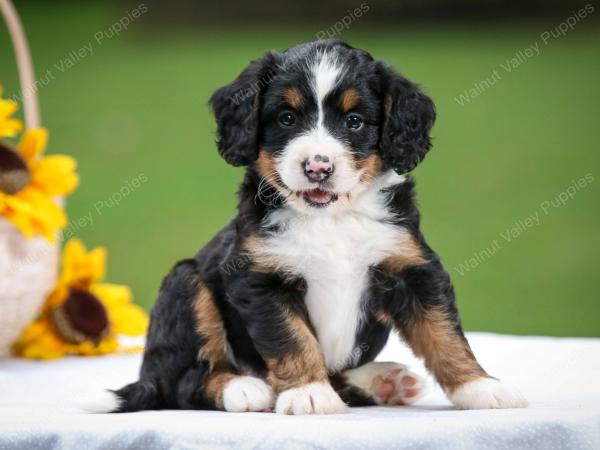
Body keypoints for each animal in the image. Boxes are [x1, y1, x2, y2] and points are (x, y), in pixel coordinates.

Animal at [84, 39, 524, 414]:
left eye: (355, 122)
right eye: (286, 118)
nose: (318, 167)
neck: (331, 219)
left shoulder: (413, 268)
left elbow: (444, 336)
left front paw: (480, 387)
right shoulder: (259, 278)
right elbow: (293, 339)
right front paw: (309, 393)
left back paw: (380, 382)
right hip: (185, 281)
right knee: (184, 384)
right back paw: (245, 388)